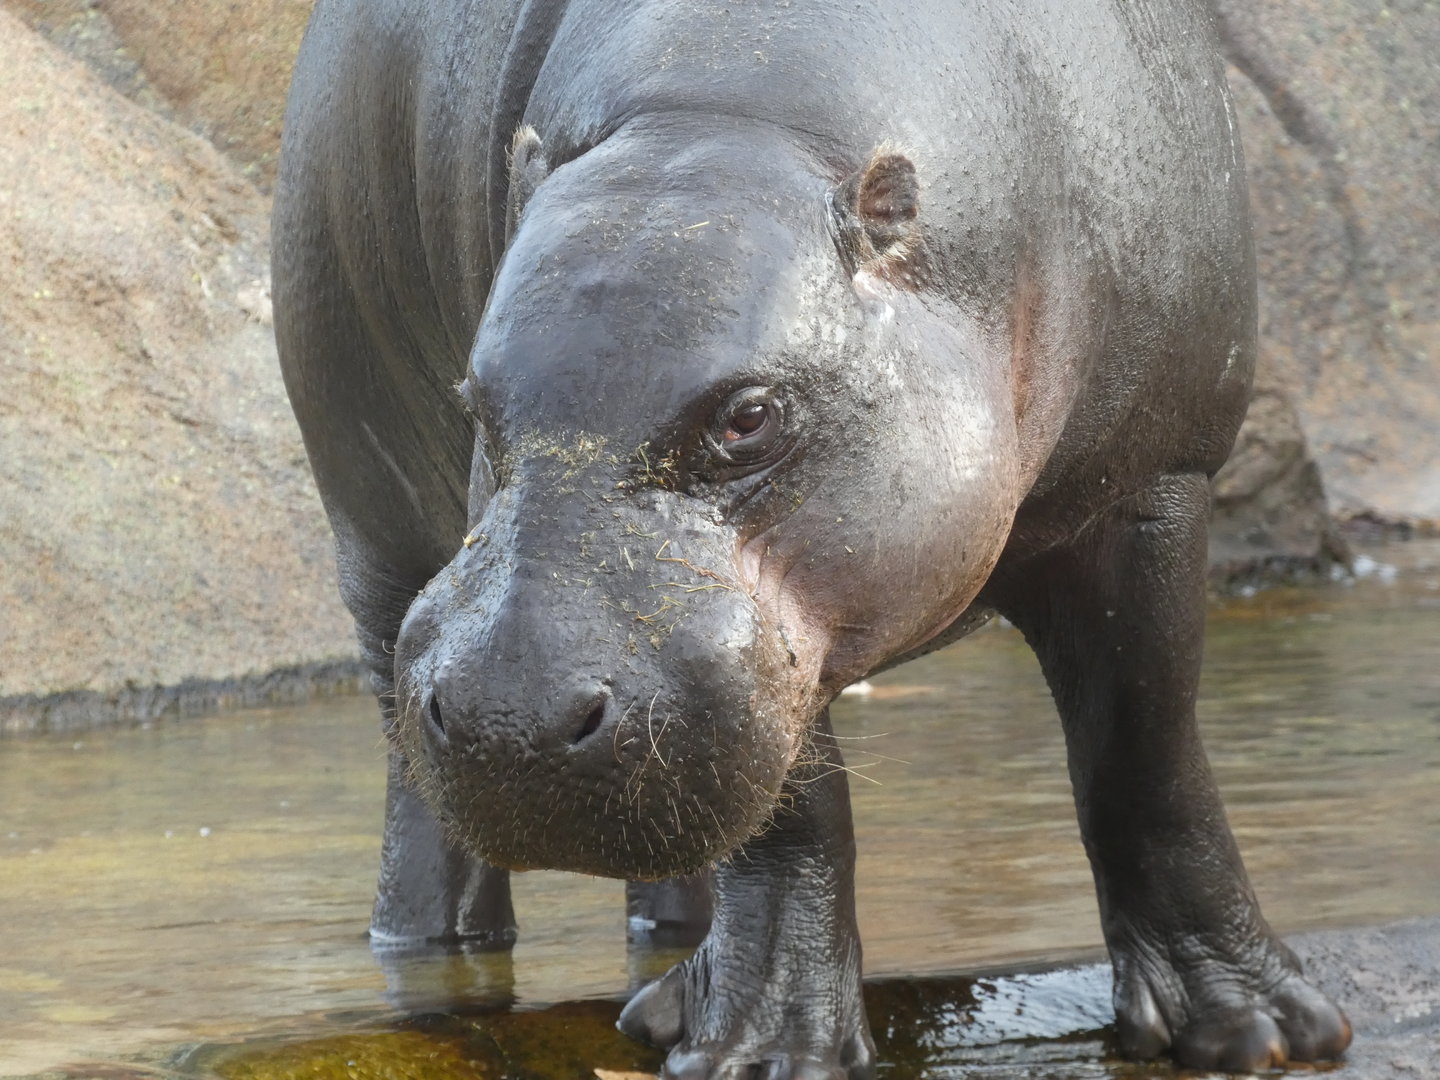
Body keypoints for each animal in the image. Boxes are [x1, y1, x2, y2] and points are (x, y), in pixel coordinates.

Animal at [271, 0, 1353, 1075]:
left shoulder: (1155, 479)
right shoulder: (772, 642)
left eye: (748, 416)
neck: (728, 111)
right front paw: (758, 1053)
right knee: (416, 799)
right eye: (476, 400)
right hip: (374, 533)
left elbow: (1146, 750)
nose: (512, 721)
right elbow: (798, 818)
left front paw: (1255, 1028)